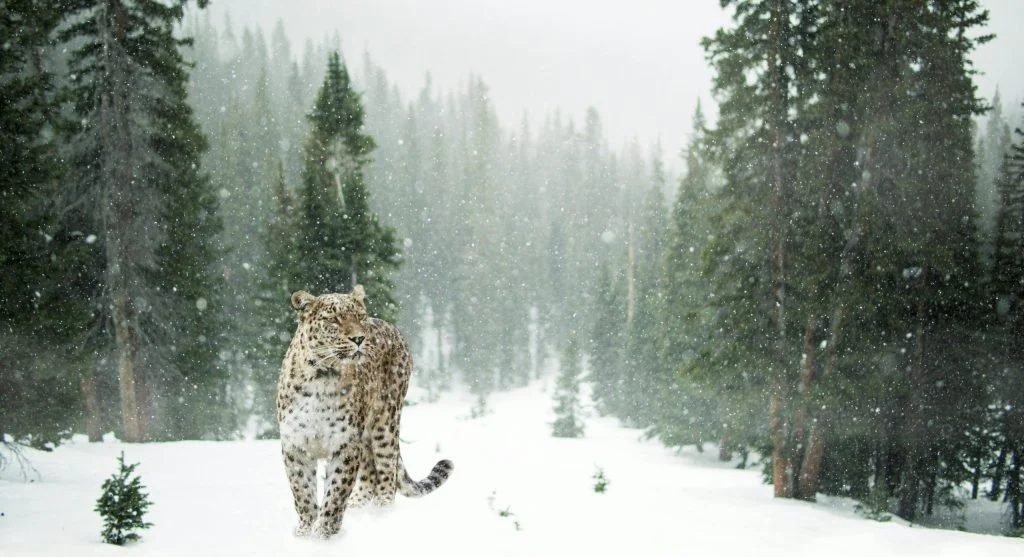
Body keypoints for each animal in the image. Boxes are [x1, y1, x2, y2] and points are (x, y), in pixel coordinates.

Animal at [277, 284, 453, 539]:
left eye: (359, 316)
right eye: (334, 319)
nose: (359, 338)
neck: (322, 377)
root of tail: (392, 328)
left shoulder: (345, 444)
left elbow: (336, 491)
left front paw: (324, 533)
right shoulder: (295, 445)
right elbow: (302, 491)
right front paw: (305, 531)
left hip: (385, 423)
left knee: (387, 472)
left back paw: (381, 514)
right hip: (367, 436)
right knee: (370, 475)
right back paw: (358, 507)